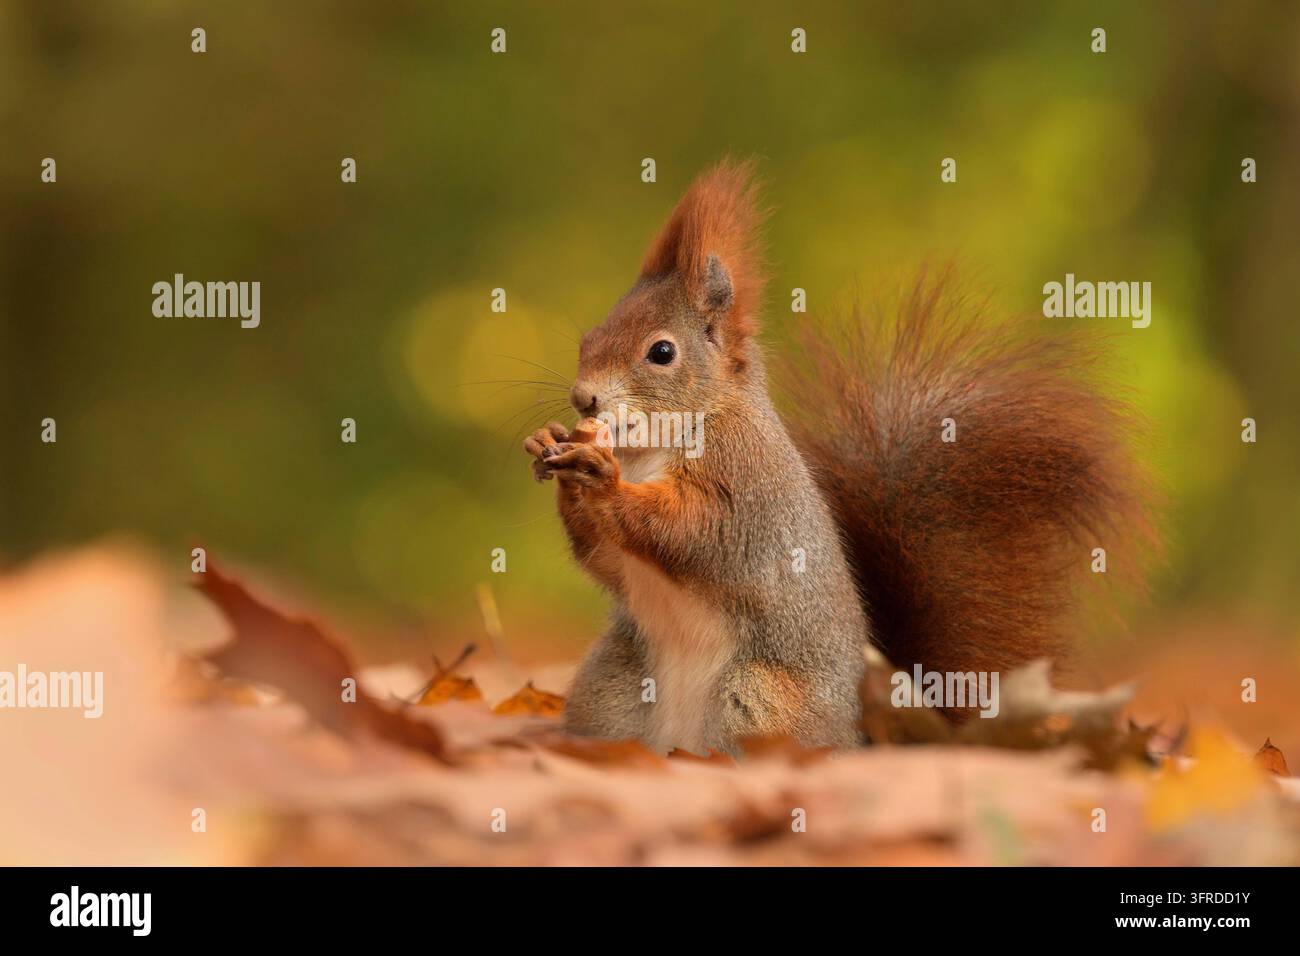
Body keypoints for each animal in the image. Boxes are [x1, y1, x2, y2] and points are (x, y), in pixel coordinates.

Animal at [523, 159, 1151, 756]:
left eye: (661, 352)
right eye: (588, 338)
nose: (583, 398)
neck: (652, 447)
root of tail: (864, 736)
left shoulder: (746, 481)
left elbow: (698, 530)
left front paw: (601, 481)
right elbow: (604, 557)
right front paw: (551, 450)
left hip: (761, 697)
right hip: (614, 688)